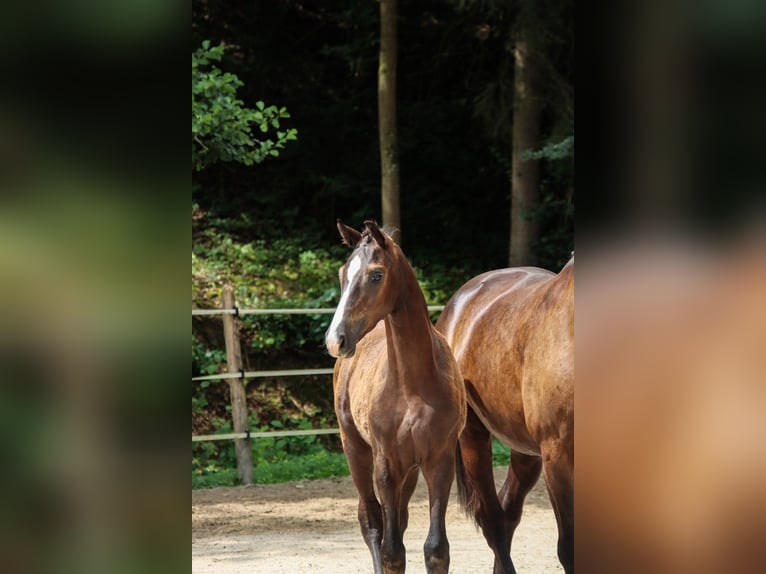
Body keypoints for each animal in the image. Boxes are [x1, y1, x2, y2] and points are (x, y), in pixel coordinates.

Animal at [326, 220, 468, 574]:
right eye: (343, 273)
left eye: (376, 274)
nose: (336, 339)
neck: (411, 386)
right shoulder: (386, 463)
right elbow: (391, 550)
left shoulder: (438, 461)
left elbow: (435, 548)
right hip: (355, 448)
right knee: (371, 521)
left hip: (410, 469)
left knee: (398, 520)